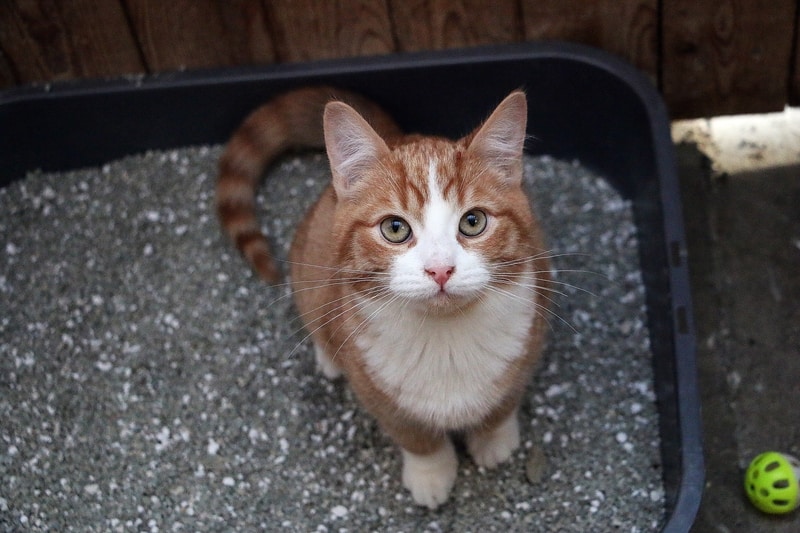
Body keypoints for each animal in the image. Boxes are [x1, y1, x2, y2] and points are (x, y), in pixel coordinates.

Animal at [216, 86, 552, 508]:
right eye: (395, 228)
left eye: (473, 222)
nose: (440, 269)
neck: (445, 339)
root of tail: (399, 134)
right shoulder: (373, 385)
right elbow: (414, 434)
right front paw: (431, 473)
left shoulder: (533, 330)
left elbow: (504, 402)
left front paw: (493, 439)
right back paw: (327, 357)